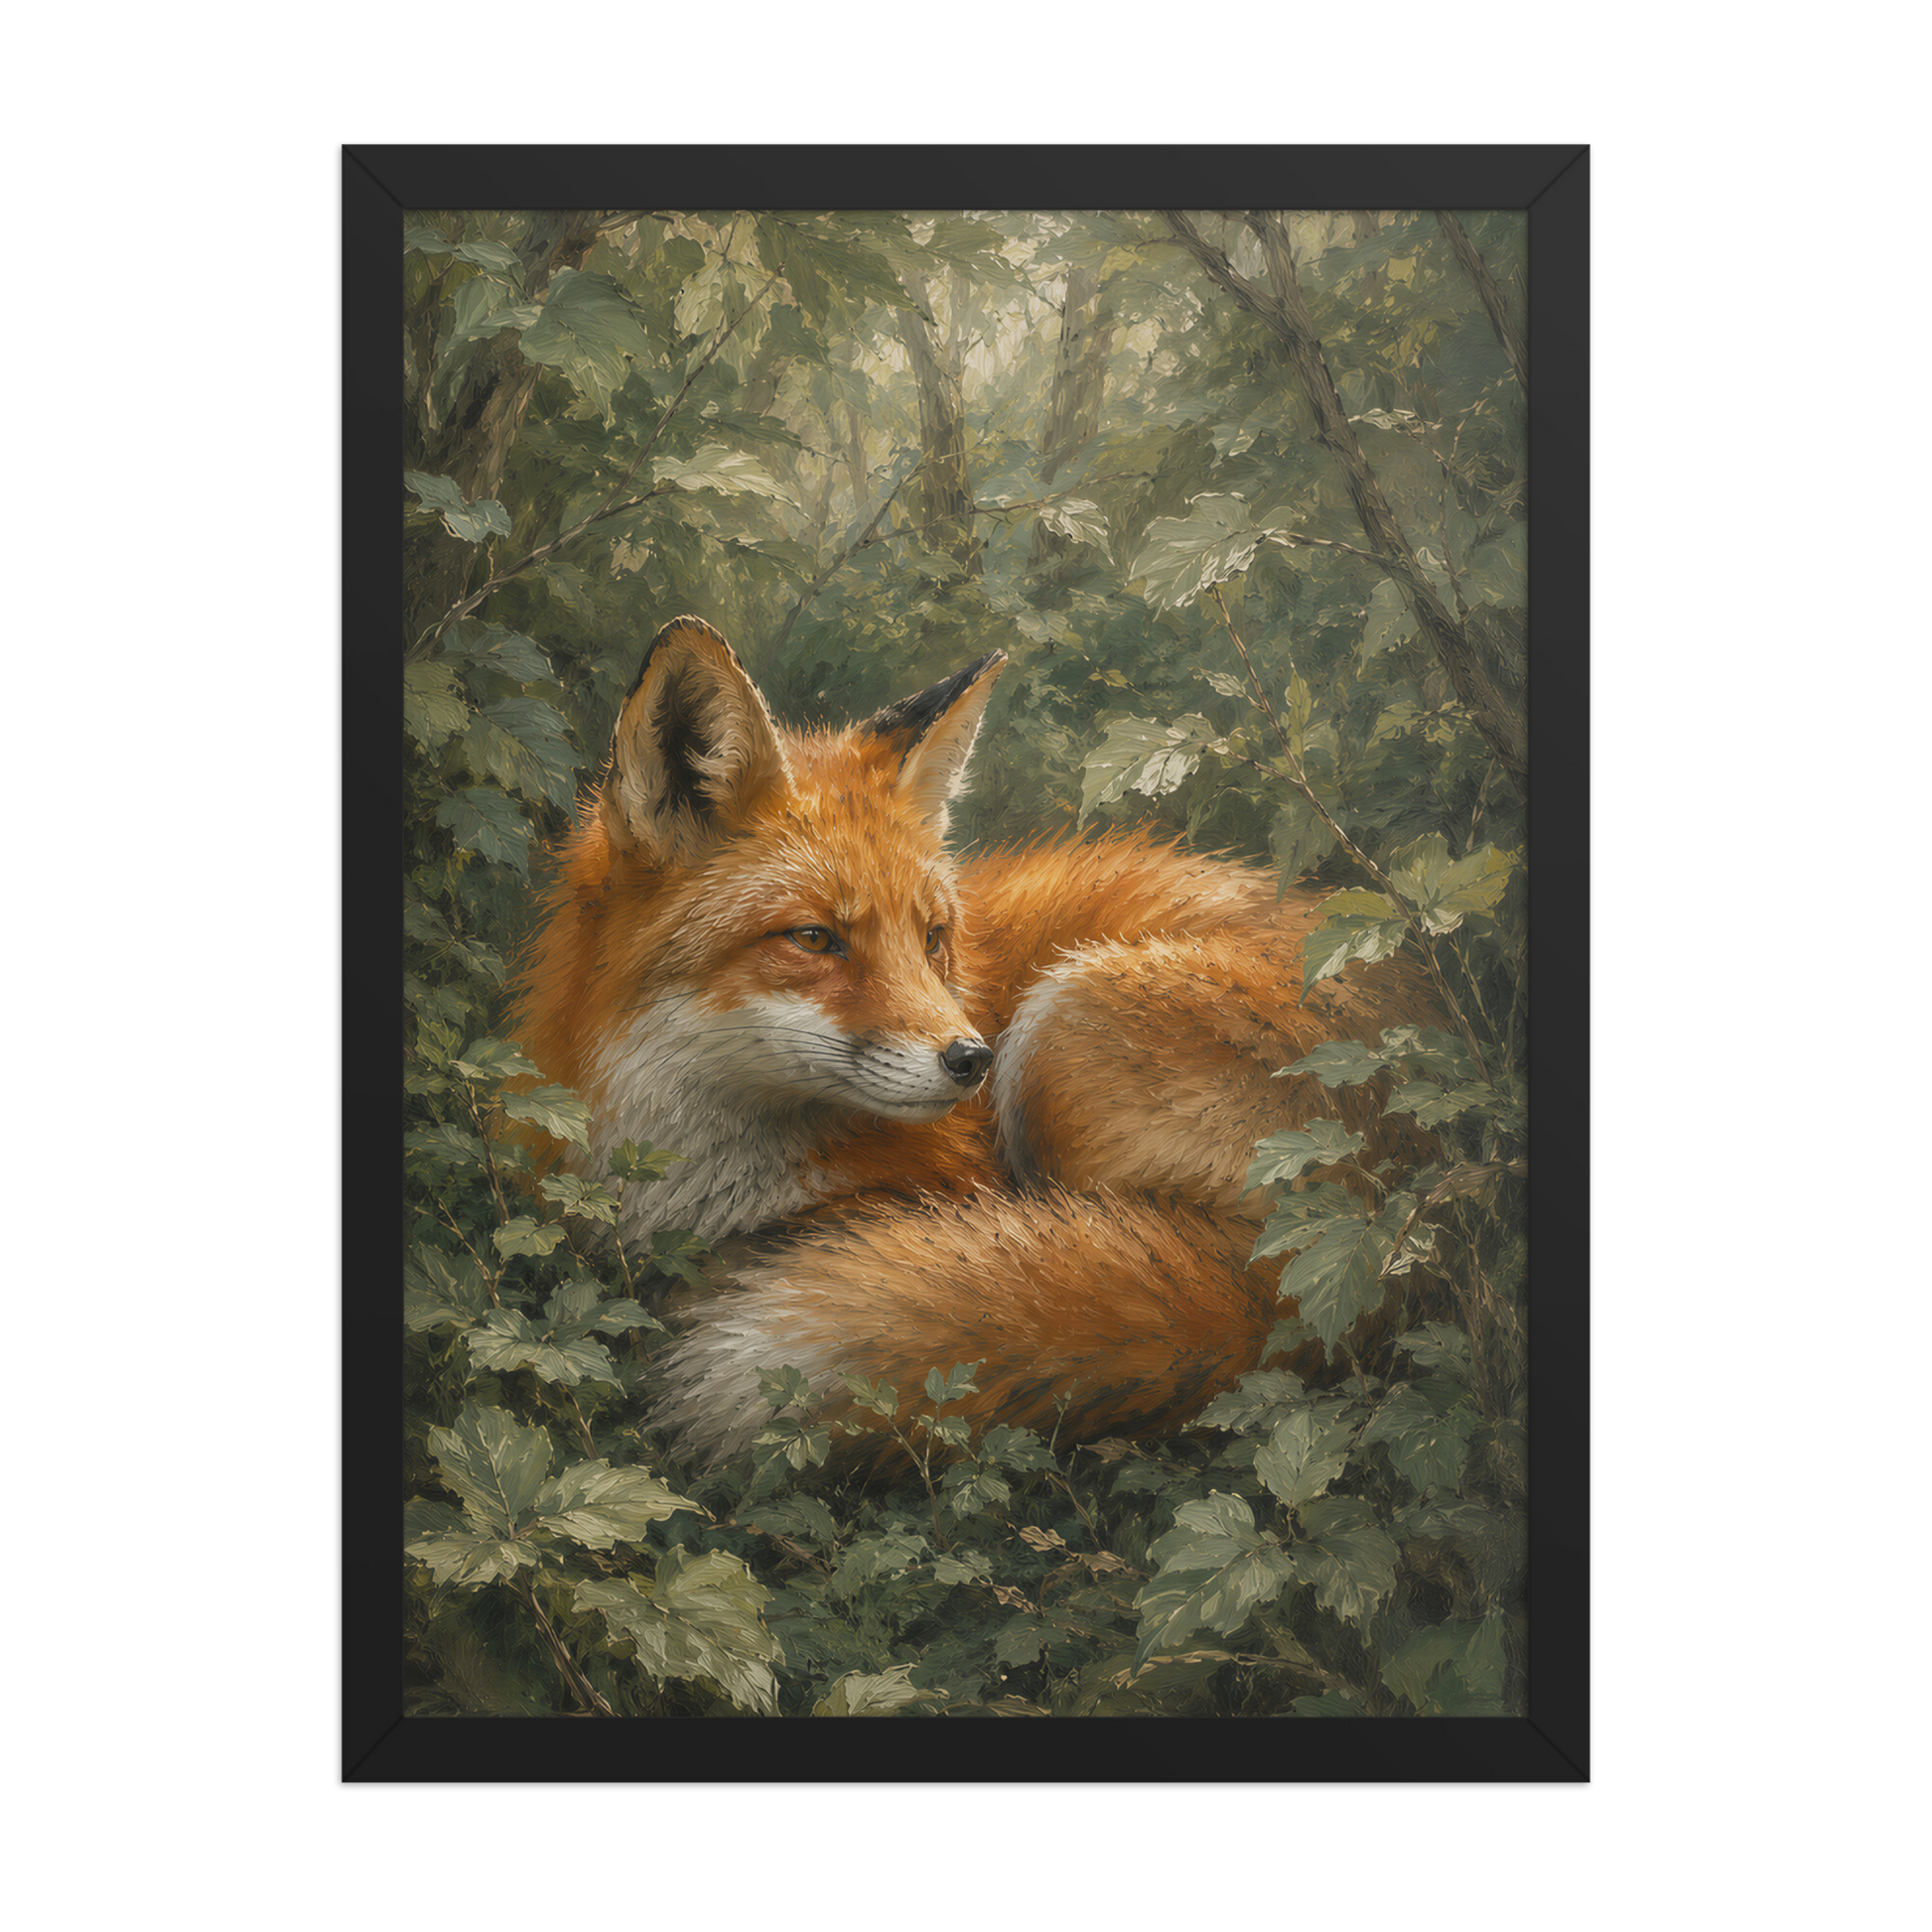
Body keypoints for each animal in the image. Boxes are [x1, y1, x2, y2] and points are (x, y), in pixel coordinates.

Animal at [507, 615, 1445, 1471]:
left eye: (932, 938)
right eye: (814, 939)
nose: (971, 1060)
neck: (694, 1170)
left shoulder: (947, 1181)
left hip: (1064, 1025)